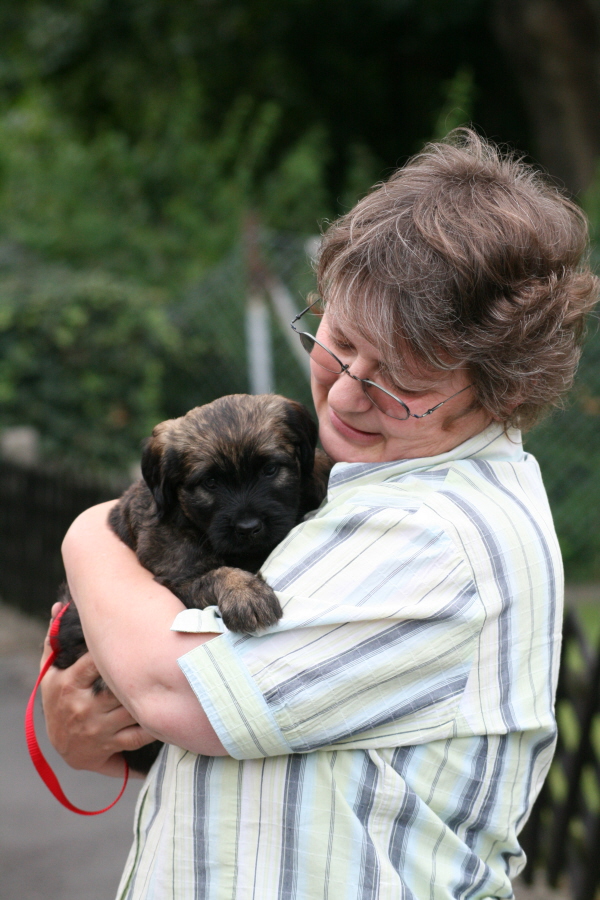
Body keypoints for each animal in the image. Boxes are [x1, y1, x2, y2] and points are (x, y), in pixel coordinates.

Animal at [52, 394, 332, 772]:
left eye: (270, 470)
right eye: (210, 483)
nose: (248, 527)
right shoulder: (178, 579)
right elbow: (218, 573)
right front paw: (246, 594)